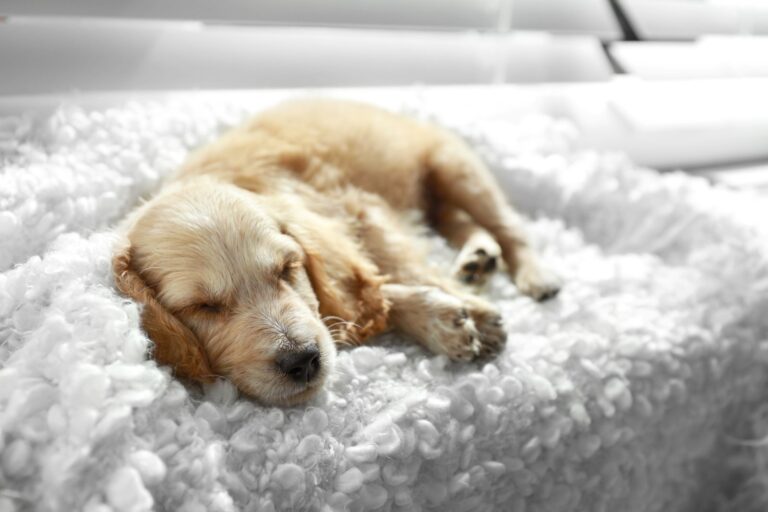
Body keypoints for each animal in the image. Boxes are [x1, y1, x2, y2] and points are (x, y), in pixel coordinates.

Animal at [112, 99, 560, 404]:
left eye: (287, 268)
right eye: (202, 307)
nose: (303, 360)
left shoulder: (355, 209)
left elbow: (391, 266)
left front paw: (472, 312)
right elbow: (369, 294)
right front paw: (443, 316)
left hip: (455, 167)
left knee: (508, 226)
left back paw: (535, 276)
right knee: (458, 221)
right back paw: (476, 259)